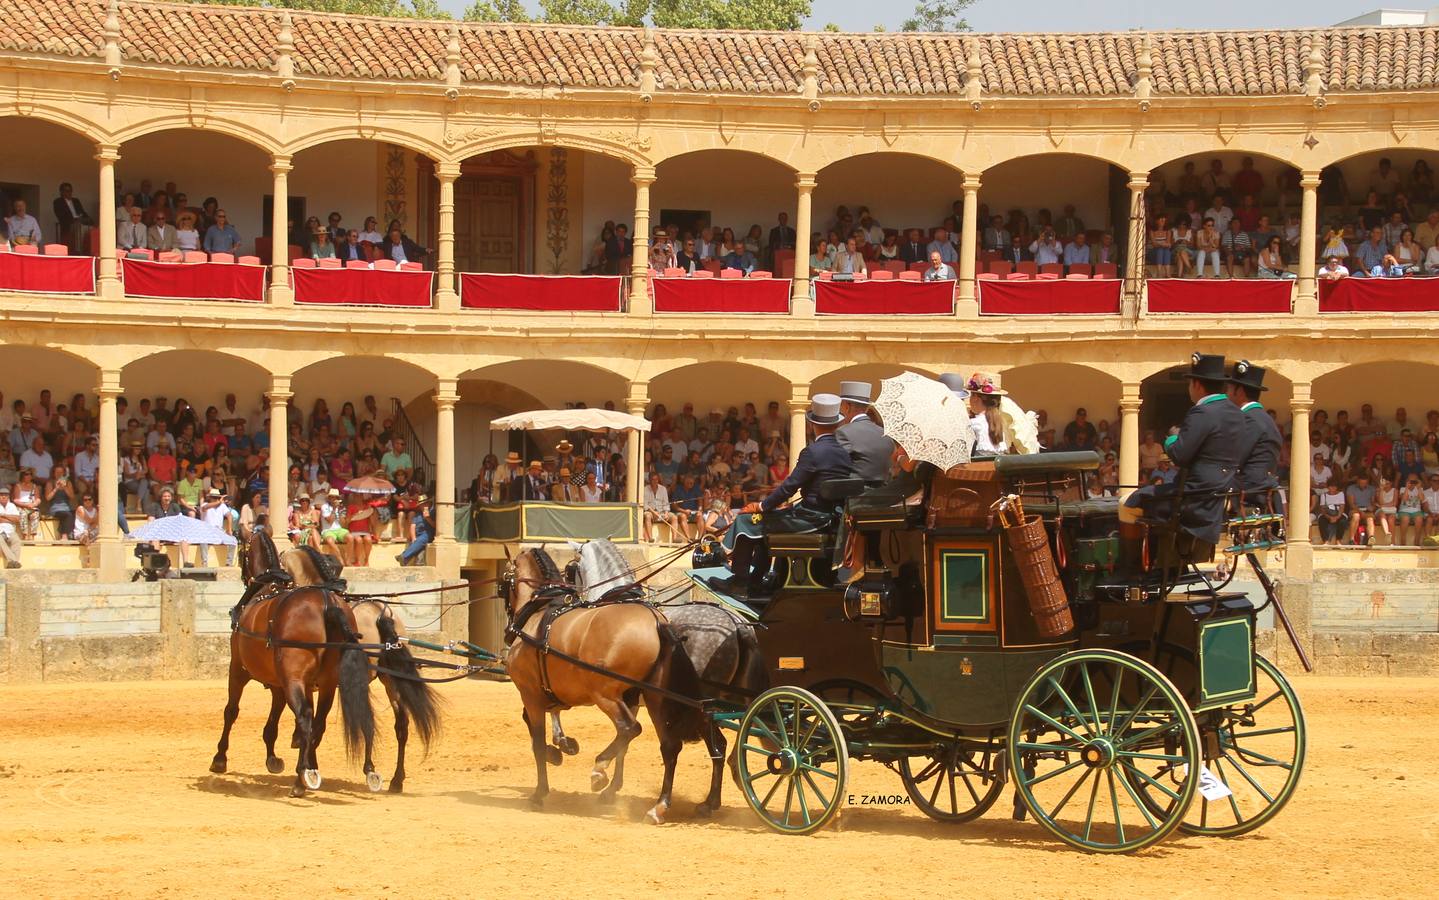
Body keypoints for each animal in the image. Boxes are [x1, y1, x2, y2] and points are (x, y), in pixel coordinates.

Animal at [210, 529, 377, 794]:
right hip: (327, 684)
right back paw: (311, 770)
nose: (244, 577)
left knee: (305, 717)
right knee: (318, 723)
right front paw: (275, 758)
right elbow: (275, 720)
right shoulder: (286, 683)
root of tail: (328, 605)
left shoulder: (238, 669)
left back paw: (300, 779)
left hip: (291, 679)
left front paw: (219, 758)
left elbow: (231, 711)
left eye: (242, 551)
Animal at [277, 544, 440, 789]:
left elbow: (314, 721)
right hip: (389, 681)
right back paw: (396, 779)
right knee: (400, 724)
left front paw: (303, 753)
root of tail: (381, 613)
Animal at [503, 547, 705, 823]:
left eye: (505, 581)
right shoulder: (550, 695)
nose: (506, 631)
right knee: (669, 746)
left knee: (630, 728)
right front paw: (562, 748)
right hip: (654, 698)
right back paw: (659, 806)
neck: (538, 613)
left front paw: (539, 792)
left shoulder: (531, 694)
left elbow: (536, 743)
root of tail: (657, 621)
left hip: (605, 695)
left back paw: (599, 769)